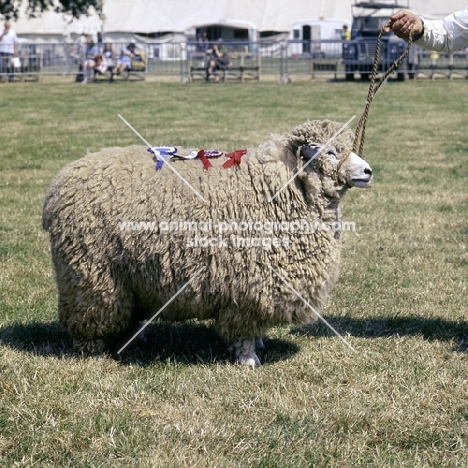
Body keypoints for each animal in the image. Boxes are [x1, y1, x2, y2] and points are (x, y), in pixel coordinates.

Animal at [44, 119, 372, 366]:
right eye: (330, 152)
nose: (368, 171)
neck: (279, 188)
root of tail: (59, 183)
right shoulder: (249, 282)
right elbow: (244, 330)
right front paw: (248, 359)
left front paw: (259, 344)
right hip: (89, 272)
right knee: (88, 315)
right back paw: (92, 352)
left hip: (127, 276)